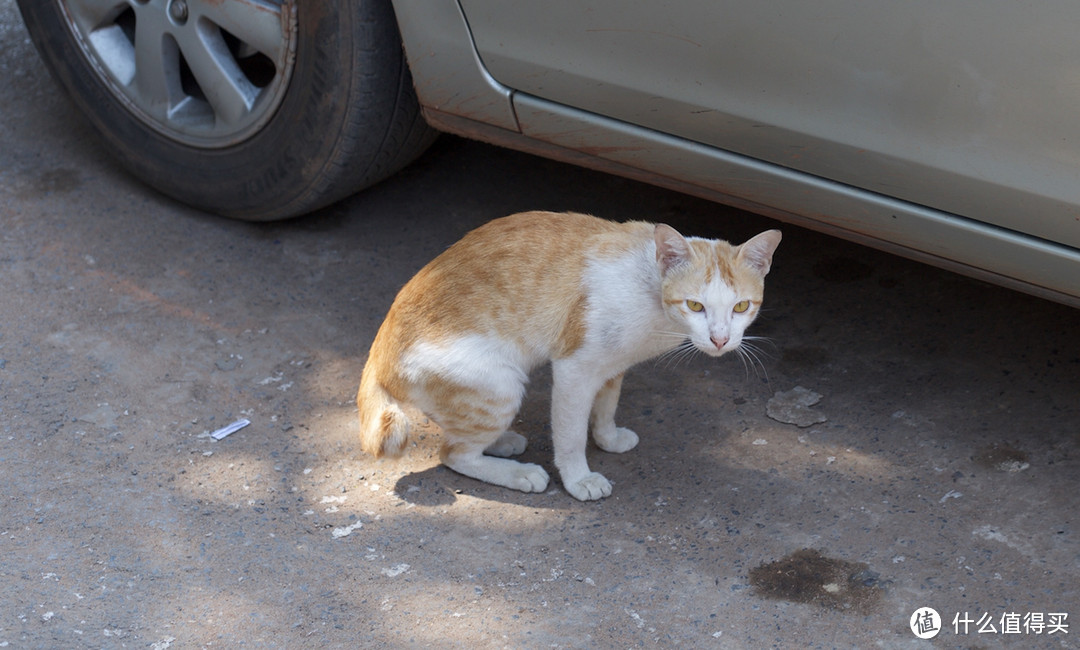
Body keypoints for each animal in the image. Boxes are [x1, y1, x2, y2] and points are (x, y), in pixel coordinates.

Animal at [358, 210, 781, 498]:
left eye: (741, 307)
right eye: (695, 305)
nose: (720, 339)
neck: (652, 298)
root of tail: (379, 354)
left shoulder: (613, 365)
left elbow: (607, 406)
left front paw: (608, 438)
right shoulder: (573, 369)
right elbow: (571, 434)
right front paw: (579, 479)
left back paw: (503, 443)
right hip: (500, 385)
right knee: (452, 453)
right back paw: (518, 473)